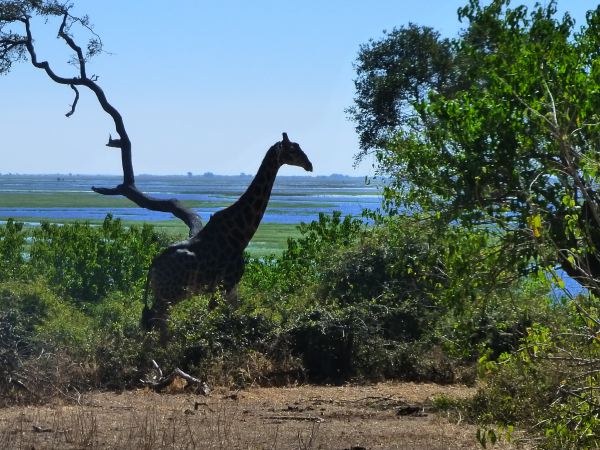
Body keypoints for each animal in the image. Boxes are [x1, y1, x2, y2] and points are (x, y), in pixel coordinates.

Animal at [141, 134, 314, 342]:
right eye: (292, 150)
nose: (310, 165)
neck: (241, 234)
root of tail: (153, 266)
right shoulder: (225, 284)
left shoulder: (231, 287)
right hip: (169, 295)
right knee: (156, 324)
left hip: (165, 295)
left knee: (155, 324)